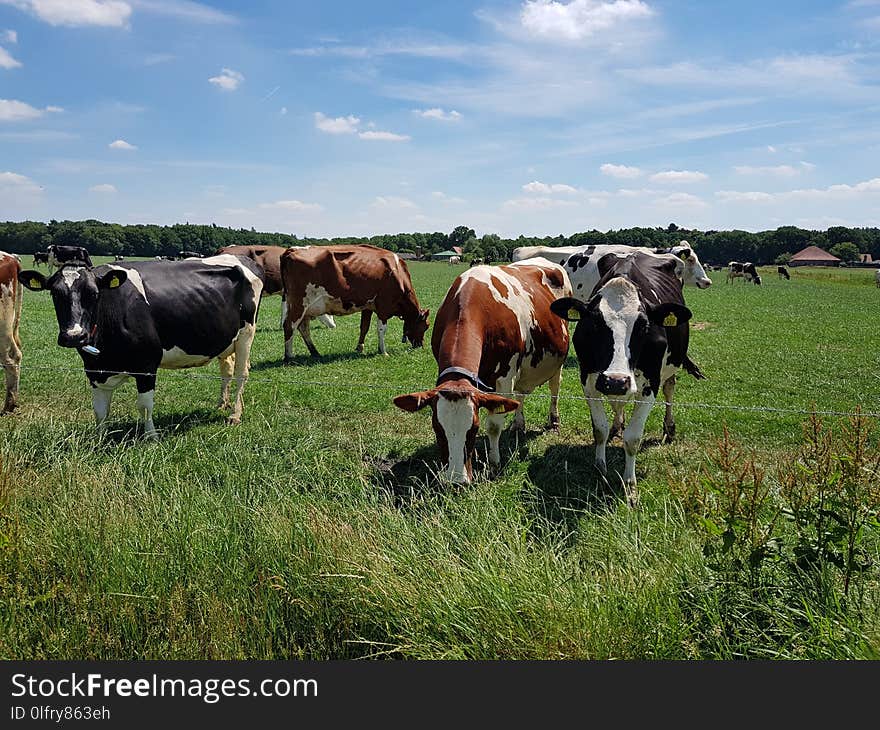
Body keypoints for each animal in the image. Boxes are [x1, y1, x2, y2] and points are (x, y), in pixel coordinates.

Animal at [17, 253, 262, 436]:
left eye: (94, 294)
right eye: (54, 294)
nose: (74, 336)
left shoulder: (147, 364)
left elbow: (144, 406)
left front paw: (151, 437)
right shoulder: (94, 370)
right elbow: (100, 410)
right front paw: (99, 439)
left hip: (246, 334)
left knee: (241, 374)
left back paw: (234, 415)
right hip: (226, 339)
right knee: (226, 370)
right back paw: (222, 403)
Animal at [282, 243, 430, 360]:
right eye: (426, 326)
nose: (420, 345)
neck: (398, 273)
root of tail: (291, 250)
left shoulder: (368, 306)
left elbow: (364, 327)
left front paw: (360, 348)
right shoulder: (384, 306)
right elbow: (381, 329)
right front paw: (383, 351)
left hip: (304, 308)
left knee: (303, 328)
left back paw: (315, 352)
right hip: (299, 304)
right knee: (290, 326)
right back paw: (289, 356)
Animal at [392, 258, 572, 484]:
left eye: (474, 429)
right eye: (437, 429)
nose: (456, 481)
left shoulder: (505, 377)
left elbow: (494, 425)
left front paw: (494, 463)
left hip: (558, 360)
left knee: (554, 388)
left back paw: (554, 421)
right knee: (520, 396)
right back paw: (518, 424)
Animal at [552, 250, 700, 506]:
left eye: (643, 326)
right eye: (595, 324)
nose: (615, 380)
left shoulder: (650, 384)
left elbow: (632, 439)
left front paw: (630, 485)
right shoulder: (588, 380)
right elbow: (599, 429)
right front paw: (600, 468)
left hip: (671, 365)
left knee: (669, 389)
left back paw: (669, 427)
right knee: (618, 405)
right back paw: (617, 424)